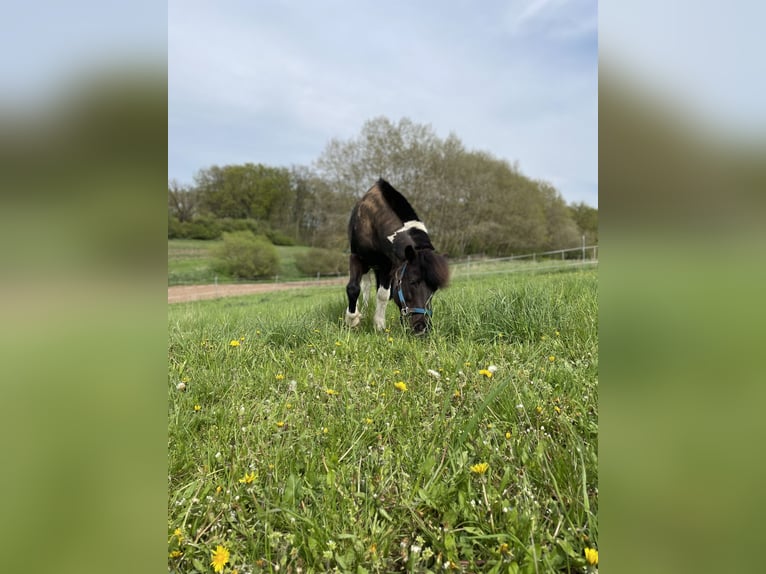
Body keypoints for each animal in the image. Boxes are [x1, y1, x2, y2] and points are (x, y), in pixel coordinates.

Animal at [346, 178, 450, 336]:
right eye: (413, 282)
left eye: (434, 289)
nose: (422, 328)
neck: (373, 221)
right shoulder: (356, 257)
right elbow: (353, 288)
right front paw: (352, 320)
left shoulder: (389, 266)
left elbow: (383, 294)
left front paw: (379, 325)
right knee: (365, 286)